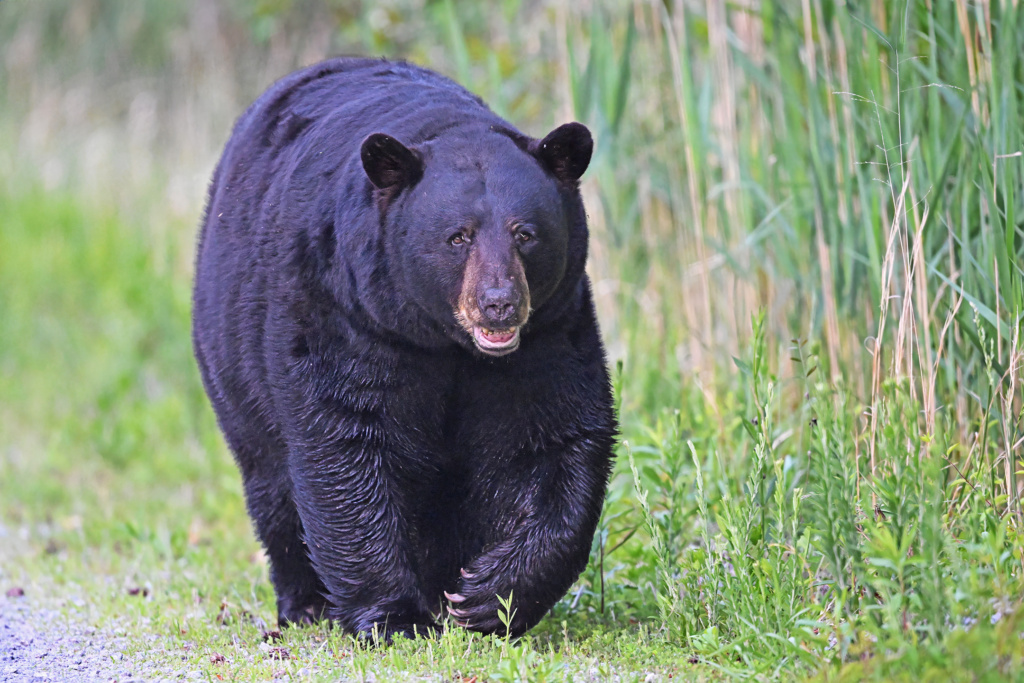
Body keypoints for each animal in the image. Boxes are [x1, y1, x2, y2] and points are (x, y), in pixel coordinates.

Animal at [192, 58, 614, 643]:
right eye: (458, 236)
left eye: (525, 233)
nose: (499, 304)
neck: (448, 344)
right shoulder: (346, 313)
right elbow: (346, 440)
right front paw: (393, 617)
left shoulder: (548, 333)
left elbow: (552, 438)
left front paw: (487, 597)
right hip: (233, 357)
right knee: (271, 479)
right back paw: (306, 602)